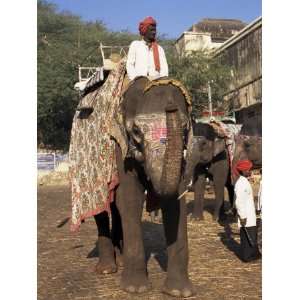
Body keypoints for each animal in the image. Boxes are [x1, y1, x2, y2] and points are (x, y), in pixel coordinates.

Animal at [94, 77, 213, 298]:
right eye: (136, 132)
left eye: (185, 127)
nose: (170, 106)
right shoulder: (120, 147)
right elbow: (130, 198)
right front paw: (135, 289)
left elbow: (175, 202)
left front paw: (179, 292)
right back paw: (107, 269)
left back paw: (120, 260)